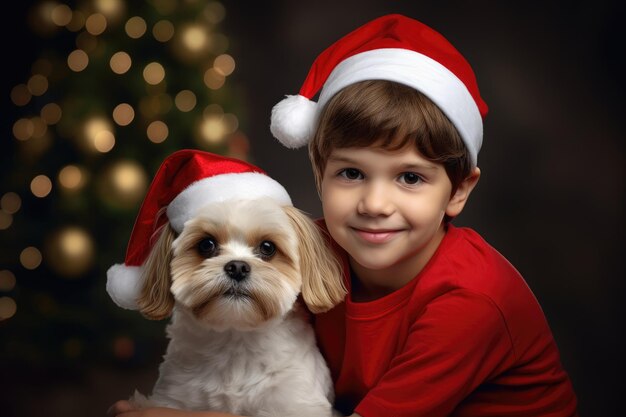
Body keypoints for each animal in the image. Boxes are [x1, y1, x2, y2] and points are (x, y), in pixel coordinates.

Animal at [105, 150, 344, 416]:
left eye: (267, 247)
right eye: (206, 244)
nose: (237, 267)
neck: (235, 343)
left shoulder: (294, 402)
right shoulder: (174, 396)